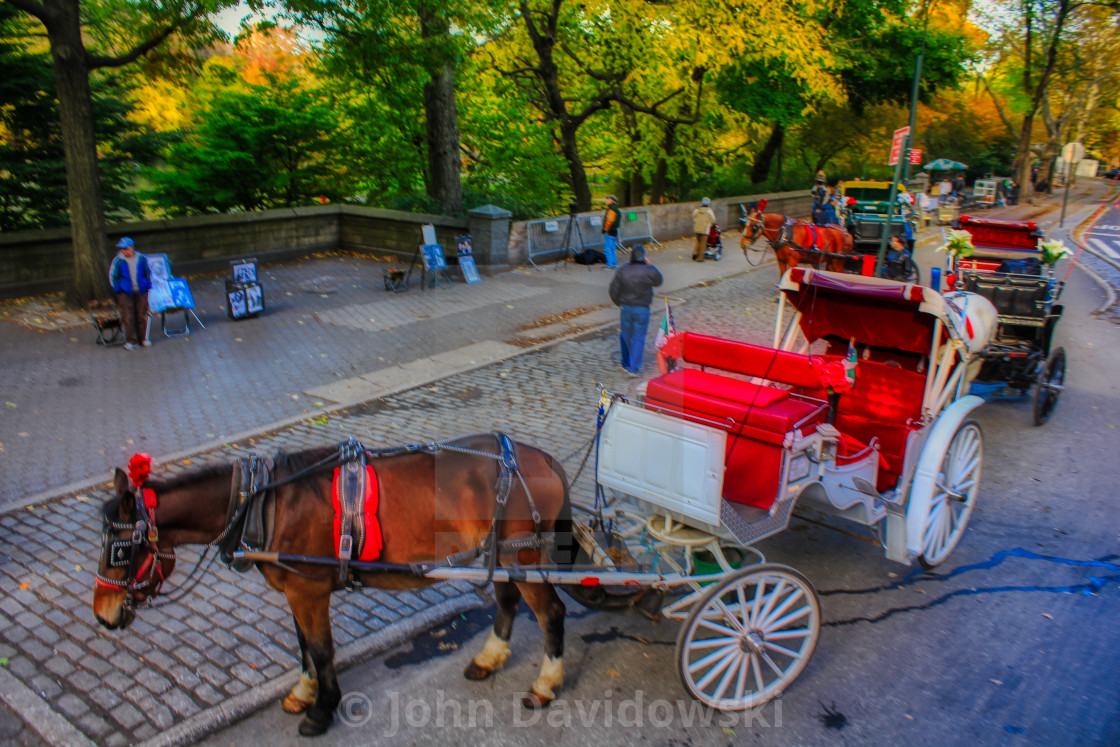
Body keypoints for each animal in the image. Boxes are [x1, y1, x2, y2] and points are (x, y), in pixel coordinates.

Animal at [90, 439, 573, 734]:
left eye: (121, 549)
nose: (103, 614)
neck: (264, 501)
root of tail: (540, 458)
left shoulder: (309, 591)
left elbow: (321, 649)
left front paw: (322, 710)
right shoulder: (297, 589)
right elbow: (304, 645)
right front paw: (304, 692)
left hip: (521, 555)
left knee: (550, 612)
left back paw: (546, 682)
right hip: (503, 555)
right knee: (507, 598)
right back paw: (489, 658)